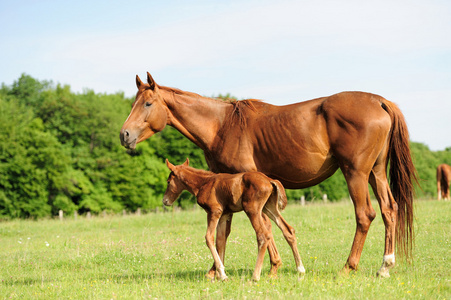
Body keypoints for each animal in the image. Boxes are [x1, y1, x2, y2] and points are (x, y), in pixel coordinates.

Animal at [161, 159, 306, 282]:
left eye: (168, 181)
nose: (165, 201)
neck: (204, 183)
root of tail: (270, 180)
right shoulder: (224, 215)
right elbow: (220, 241)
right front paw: (219, 275)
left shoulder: (214, 212)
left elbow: (209, 238)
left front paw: (222, 274)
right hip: (268, 208)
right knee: (288, 229)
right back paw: (300, 268)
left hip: (252, 210)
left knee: (263, 235)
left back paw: (255, 276)